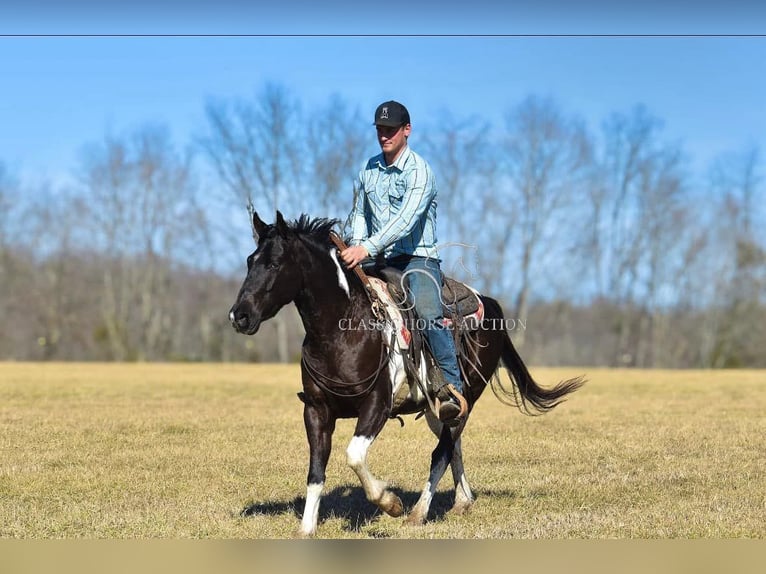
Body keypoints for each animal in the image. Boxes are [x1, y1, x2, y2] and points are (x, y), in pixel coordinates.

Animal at [231, 213, 584, 540]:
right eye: (249, 261)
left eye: (275, 264)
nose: (239, 315)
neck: (343, 326)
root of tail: (490, 304)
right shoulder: (316, 410)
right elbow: (316, 471)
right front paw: (306, 529)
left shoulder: (377, 405)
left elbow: (354, 455)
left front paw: (390, 503)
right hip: (438, 409)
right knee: (454, 446)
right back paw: (463, 501)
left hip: (466, 397)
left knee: (441, 453)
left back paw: (417, 513)